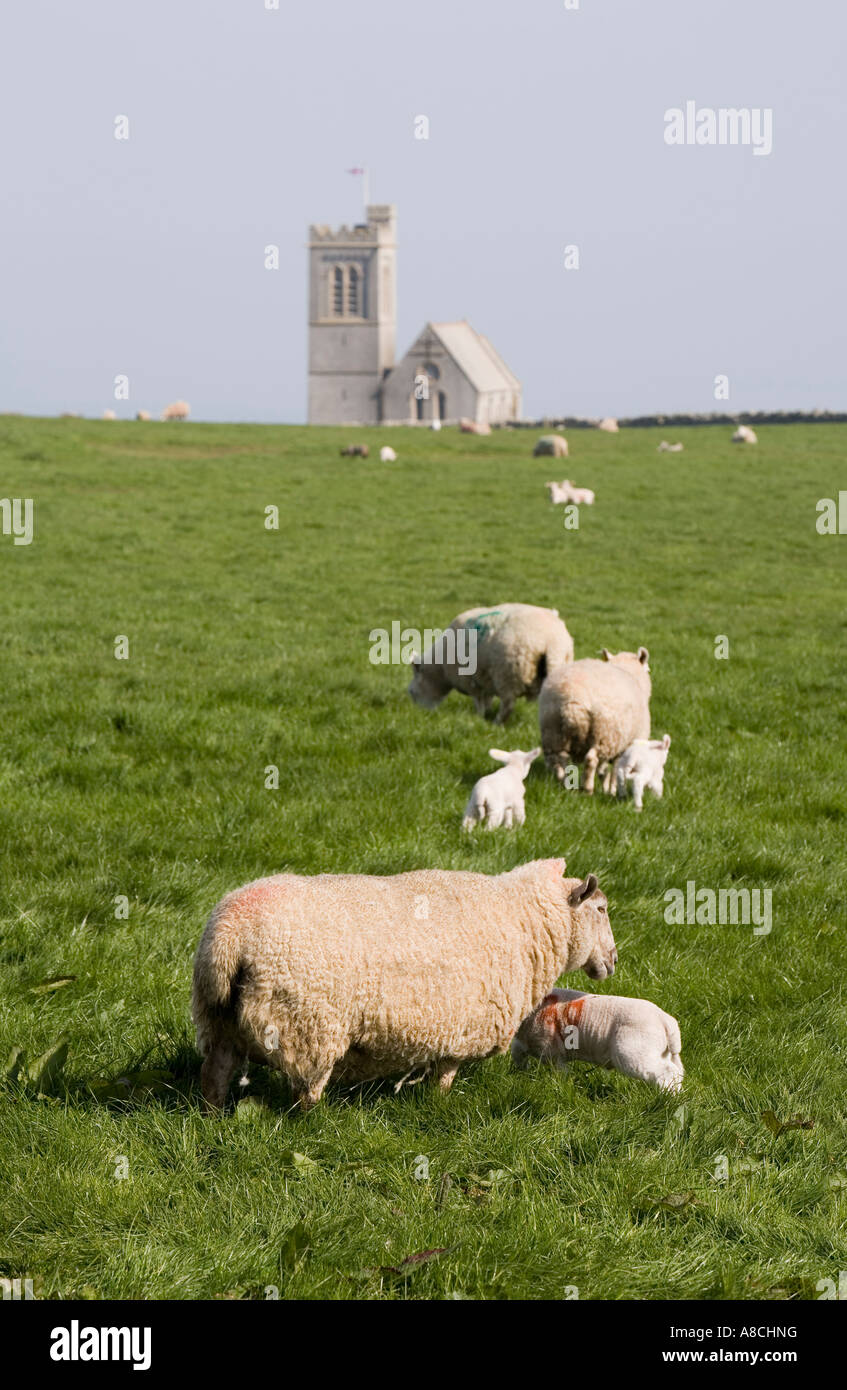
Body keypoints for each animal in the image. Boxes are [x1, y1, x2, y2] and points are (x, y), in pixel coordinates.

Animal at [192, 859, 618, 1110]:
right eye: (601, 909)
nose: (613, 962)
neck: (523, 919)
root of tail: (230, 934)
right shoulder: (463, 1026)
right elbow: (446, 1075)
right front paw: (439, 1101)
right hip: (309, 1025)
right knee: (305, 1091)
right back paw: (314, 1119)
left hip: (218, 1020)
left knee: (215, 1074)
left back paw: (213, 1114)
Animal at [408, 602, 574, 724]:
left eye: (411, 693)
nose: (420, 713)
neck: (441, 670)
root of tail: (552, 642)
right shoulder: (485, 678)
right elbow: (487, 699)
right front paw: (485, 714)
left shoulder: (471, 680)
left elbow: (479, 701)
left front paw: (479, 717)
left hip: (507, 673)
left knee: (508, 704)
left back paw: (497, 723)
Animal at [510, 988, 683, 1093]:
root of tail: (665, 1020)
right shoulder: (522, 1042)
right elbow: (517, 1056)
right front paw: (520, 1073)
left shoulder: (552, 1051)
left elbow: (560, 1073)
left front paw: (561, 1087)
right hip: (661, 1052)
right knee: (677, 1070)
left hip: (634, 1051)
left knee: (667, 1071)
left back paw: (667, 1096)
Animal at [539, 646, 652, 793]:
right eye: (648, 669)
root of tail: (573, 700)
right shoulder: (625, 745)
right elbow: (615, 770)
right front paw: (612, 790)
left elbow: (604, 771)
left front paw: (606, 787)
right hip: (603, 735)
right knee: (591, 759)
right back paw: (587, 789)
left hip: (552, 730)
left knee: (558, 760)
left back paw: (564, 783)